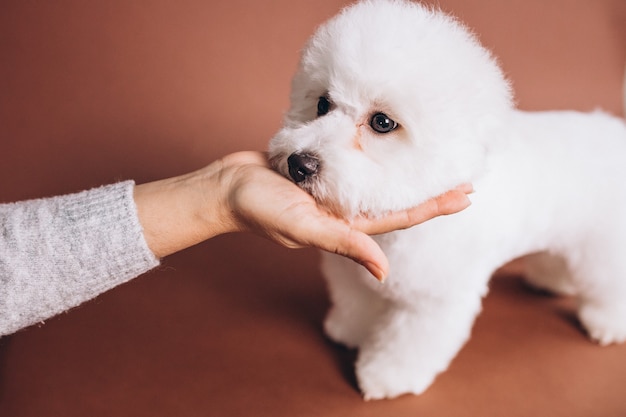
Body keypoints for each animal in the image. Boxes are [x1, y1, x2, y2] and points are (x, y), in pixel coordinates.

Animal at [266, 0, 624, 400]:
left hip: (604, 245)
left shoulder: (433, 300)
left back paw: (607, 322)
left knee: (608, 282)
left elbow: (408, 342)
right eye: (322, 104)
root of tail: (615, 131)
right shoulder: (352, 273)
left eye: (382, 123)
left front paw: (387, 375)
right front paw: (350, 330)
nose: (299, 164)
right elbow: (357, 303)